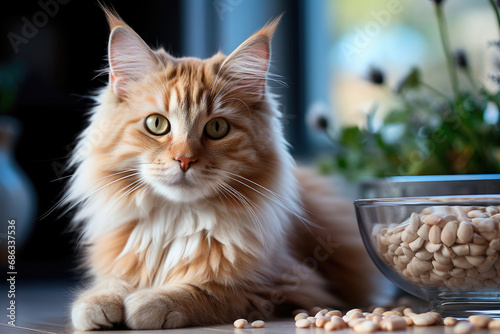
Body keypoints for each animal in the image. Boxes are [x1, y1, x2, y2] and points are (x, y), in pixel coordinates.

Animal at [65, 8, 390, 332]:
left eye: (217, 128)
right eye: (157, 124)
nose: (184, 160)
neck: (178, 221)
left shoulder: (286, 286)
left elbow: (204, 291)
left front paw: (150, 302)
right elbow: (112, 282)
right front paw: (98, 303)